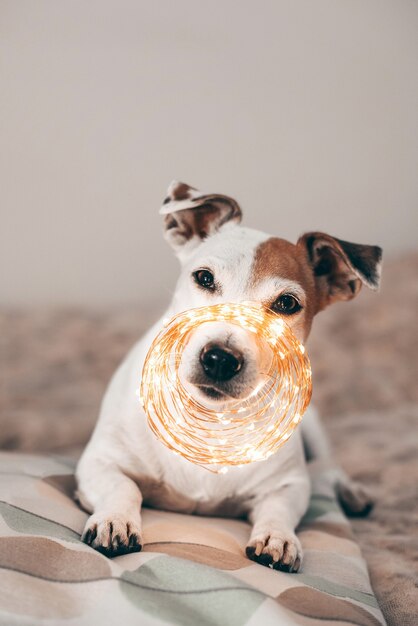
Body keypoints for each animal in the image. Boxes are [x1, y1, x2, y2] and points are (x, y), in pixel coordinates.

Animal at [75, 180, 382, 572]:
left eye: (287, 304)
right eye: (204, 278)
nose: (220, 359)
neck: (211, 419)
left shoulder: (289, 485)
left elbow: (279, 509)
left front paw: (278, 537)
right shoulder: (99, 461)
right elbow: (123, 487)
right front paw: (115, 519)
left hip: (312, 424)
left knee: (330, 467)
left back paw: (351, 492)